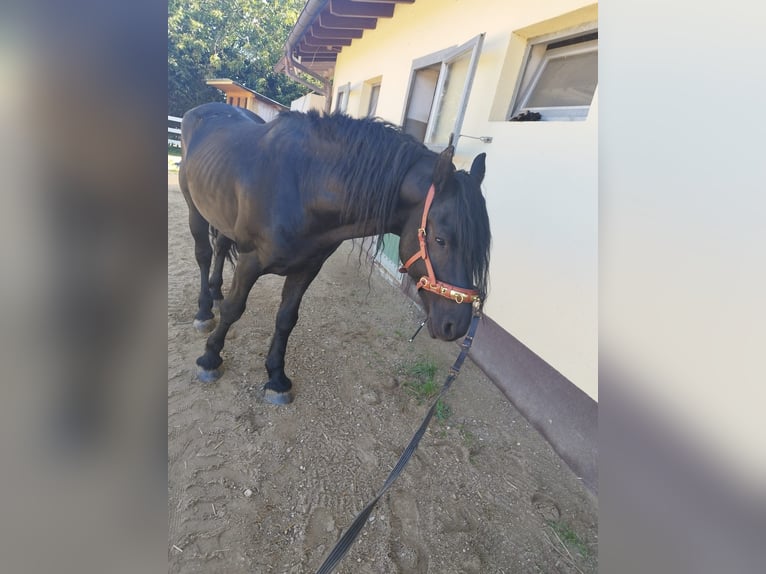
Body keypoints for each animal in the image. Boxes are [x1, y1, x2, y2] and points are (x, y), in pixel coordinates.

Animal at [179, 102, 491, 404]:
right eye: (440, 239)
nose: (456, 325)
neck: (303, 184)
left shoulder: (307, 268)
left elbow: (286, 319)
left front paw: (276, 379)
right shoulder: (250, 260)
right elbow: (234, 309)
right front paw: (210, 358)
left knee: (220, 248)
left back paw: (216, 292)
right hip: (195, 210)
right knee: (204, 255)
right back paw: (204, 310)